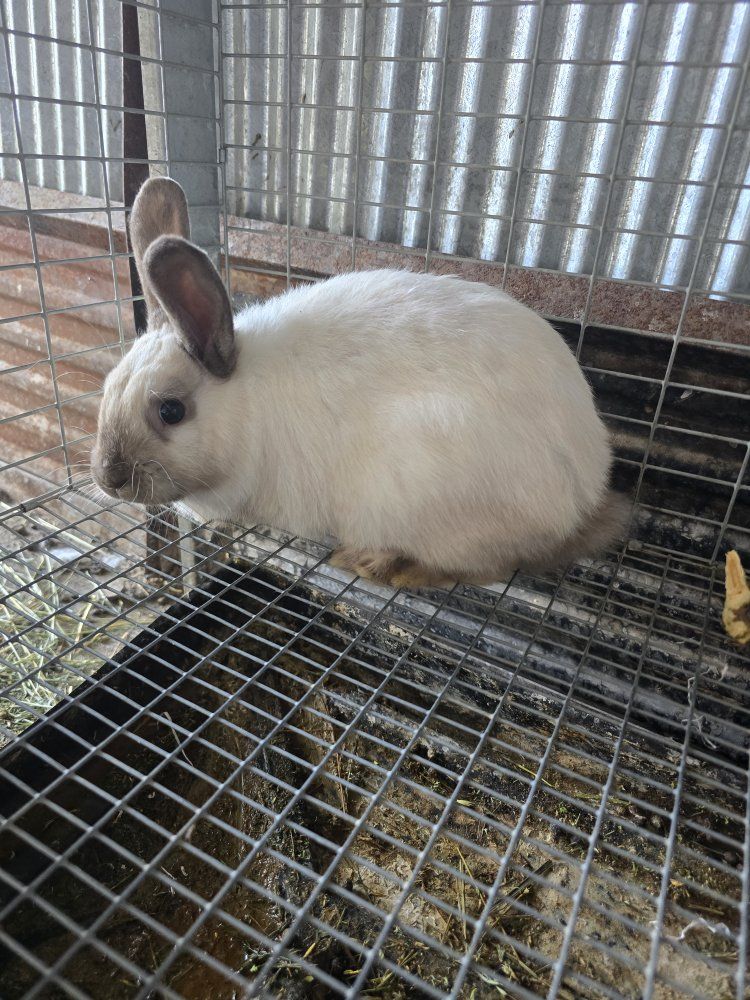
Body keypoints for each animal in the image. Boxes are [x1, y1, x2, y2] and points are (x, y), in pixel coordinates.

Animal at [91, 177, 628, 589]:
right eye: (106, 387)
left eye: (171, 410)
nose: (107, 479)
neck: (244, 405)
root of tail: (582, 496)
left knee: (487, 567)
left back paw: (380, 564)